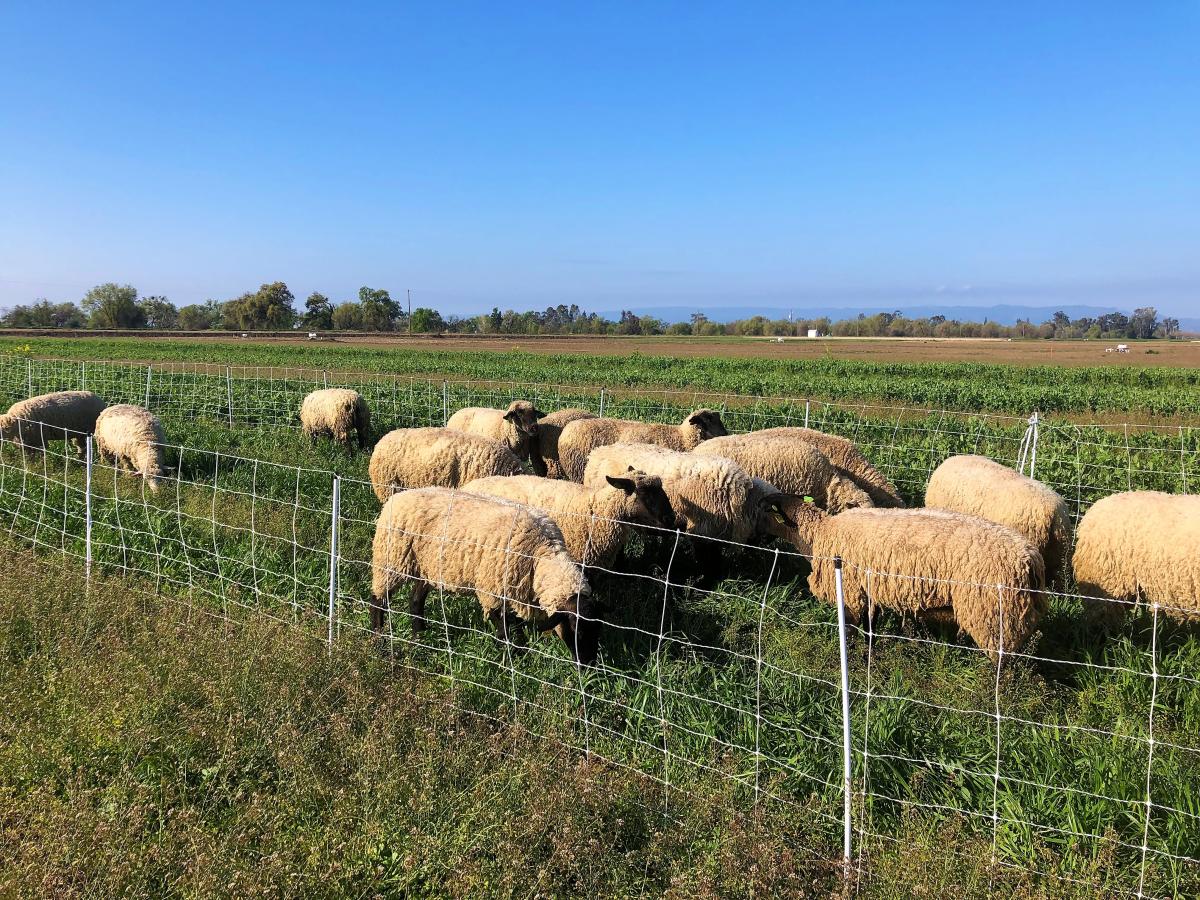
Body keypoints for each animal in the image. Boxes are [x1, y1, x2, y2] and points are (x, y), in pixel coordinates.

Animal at [370, 487, 597, 663]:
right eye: (576, 629)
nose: (588, 666)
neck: (540, 554)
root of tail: (397, 497)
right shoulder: (492, 591)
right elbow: (503, 627)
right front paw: (511, 658)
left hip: (427, 567)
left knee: (415, 600)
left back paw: (420, 638)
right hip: (391, 561)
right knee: (378, 599)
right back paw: (378, 639)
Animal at [773, 501, 1047, 659]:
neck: (821, 532)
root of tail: (1030, 559)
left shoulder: (850, 590)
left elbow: (850, 629)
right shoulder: (869, 588)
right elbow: (871, 626)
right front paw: (871, 653)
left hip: (995, 616)